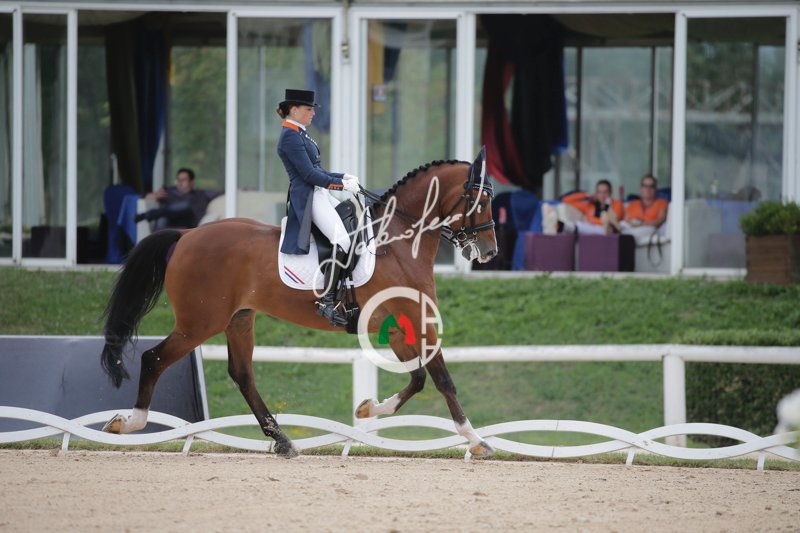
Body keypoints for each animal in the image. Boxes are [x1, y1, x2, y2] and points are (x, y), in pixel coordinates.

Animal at [99, 154, 499, 458]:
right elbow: (443, 380)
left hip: (238, 319)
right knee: (155, 359)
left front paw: (368, 408)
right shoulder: (417, 319)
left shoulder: (400, 326)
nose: (490, 251)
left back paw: (282, 440)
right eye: (480, 203)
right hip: (199, 322)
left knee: (242, 375)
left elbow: (418, 379)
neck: (399, 243)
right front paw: (476, 440)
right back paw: (128, 422)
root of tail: (186, 234)